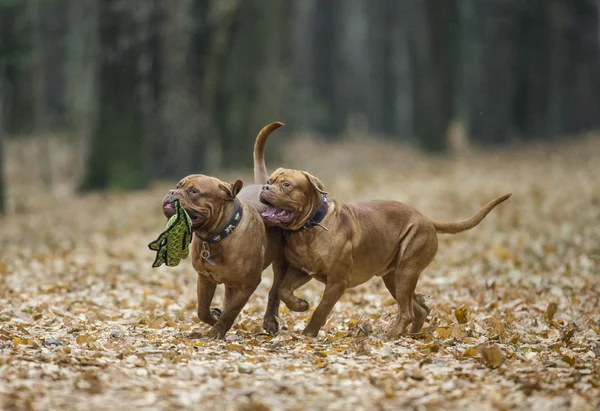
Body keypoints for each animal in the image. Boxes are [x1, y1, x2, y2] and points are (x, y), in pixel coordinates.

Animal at [162, 121, 288, 338]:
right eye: (178, 186)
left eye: (194, 191)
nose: (171, 192)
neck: (217, 236)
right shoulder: (205, 278)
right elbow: (203, 310)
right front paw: (214, 318)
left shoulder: (248, 284)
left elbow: (232, 311)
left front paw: (216, 331)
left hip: (280, 263)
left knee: (274, 291)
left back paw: (270, 321)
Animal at [260, 169, 508, 340]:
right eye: (270, 181)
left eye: (286, 185)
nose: (264, 187)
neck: (309, 227)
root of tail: (428, 220)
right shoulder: (302, 270)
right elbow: (284, 290)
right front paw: (300, 305)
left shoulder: (337, 282)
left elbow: (321, 309)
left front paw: (309, 333)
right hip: (394, 279)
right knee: (419, 309)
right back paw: (412, 334)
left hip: (406, 272)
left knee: (407, 312)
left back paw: (390, 336)